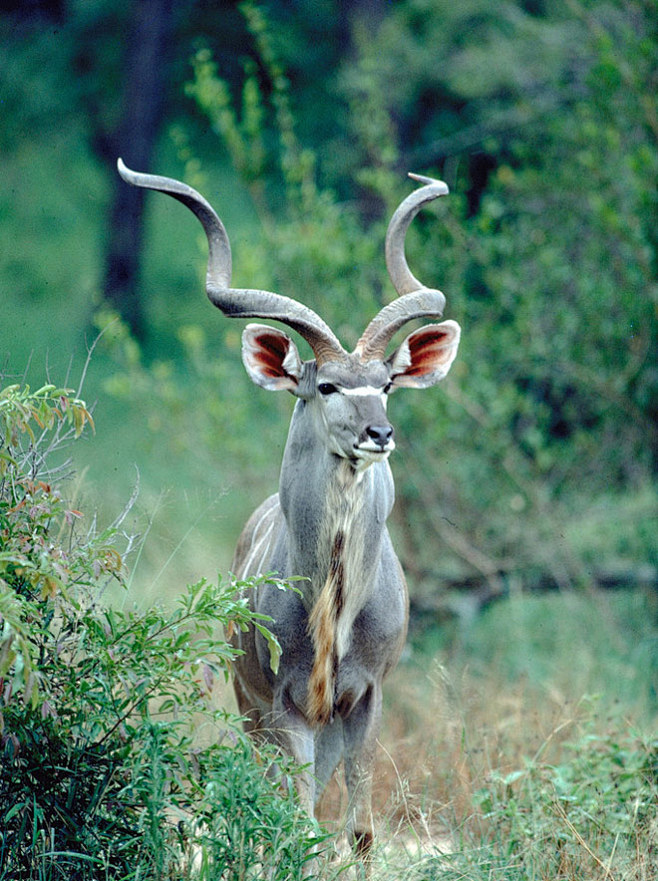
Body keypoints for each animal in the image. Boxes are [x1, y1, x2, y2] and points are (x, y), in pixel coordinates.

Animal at [116, 158, 456, 860]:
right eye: (325, 385)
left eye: (386, 384)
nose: (379, 434)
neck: (332, 607)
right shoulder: (282, 704)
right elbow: (293, 821)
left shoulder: (366, 697)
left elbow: (359, 829)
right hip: (252, 710)